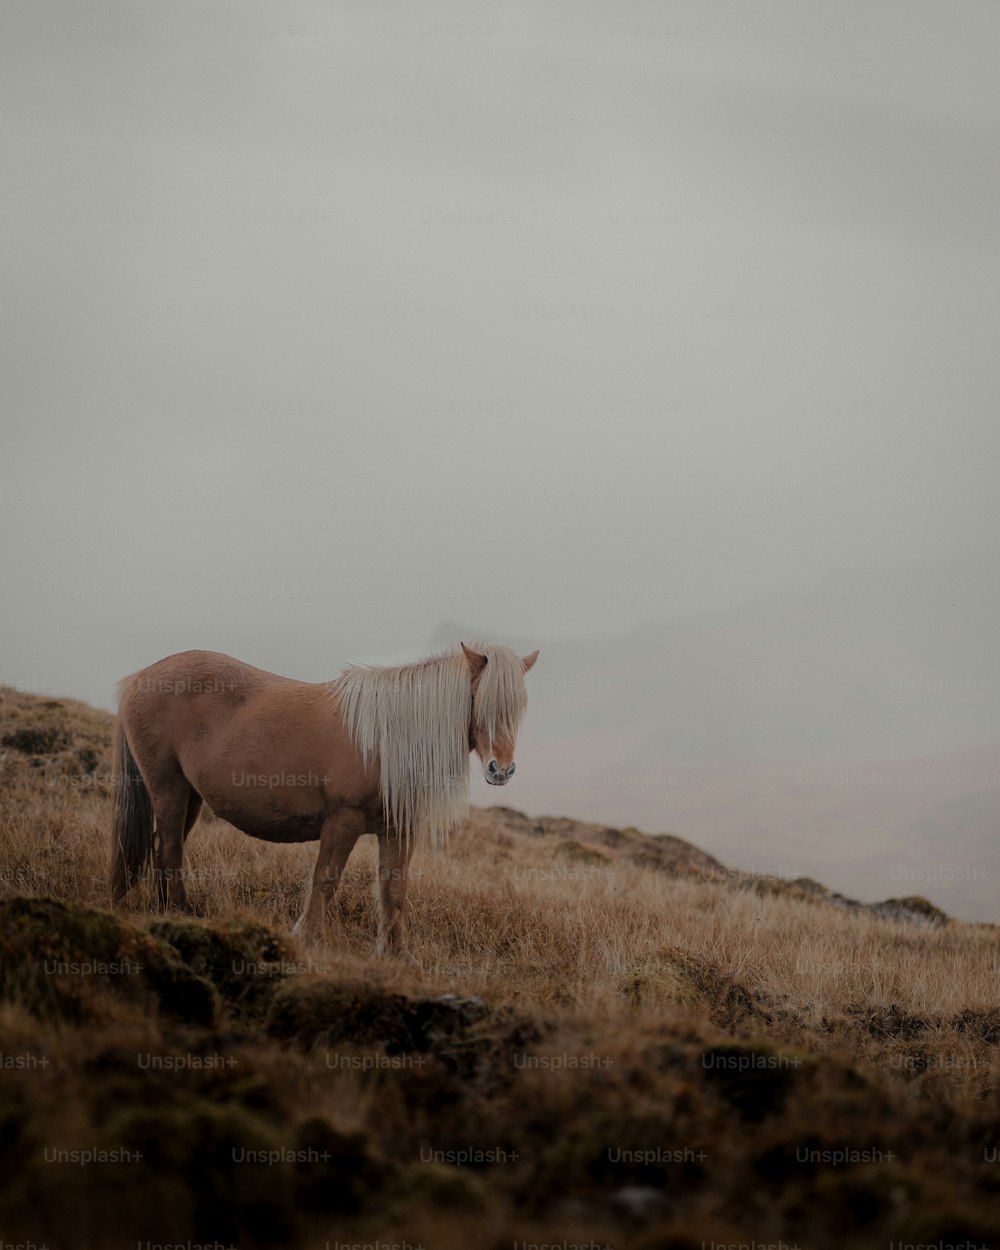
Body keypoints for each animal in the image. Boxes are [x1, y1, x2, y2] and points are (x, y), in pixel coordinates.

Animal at [109, 640, 540, 950]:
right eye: (479, 700)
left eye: (519, 707)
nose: (501, 770)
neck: (385, 741)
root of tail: (138, 679)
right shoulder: (342, 822)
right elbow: (326, 881)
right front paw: (308, 938)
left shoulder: (399, 830)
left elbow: (394, 890)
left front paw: (396, 956)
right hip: (168, 788)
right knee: (169, 850)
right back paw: (179, 912)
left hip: (190, 797)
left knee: (162, 846)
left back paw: (163, 911)